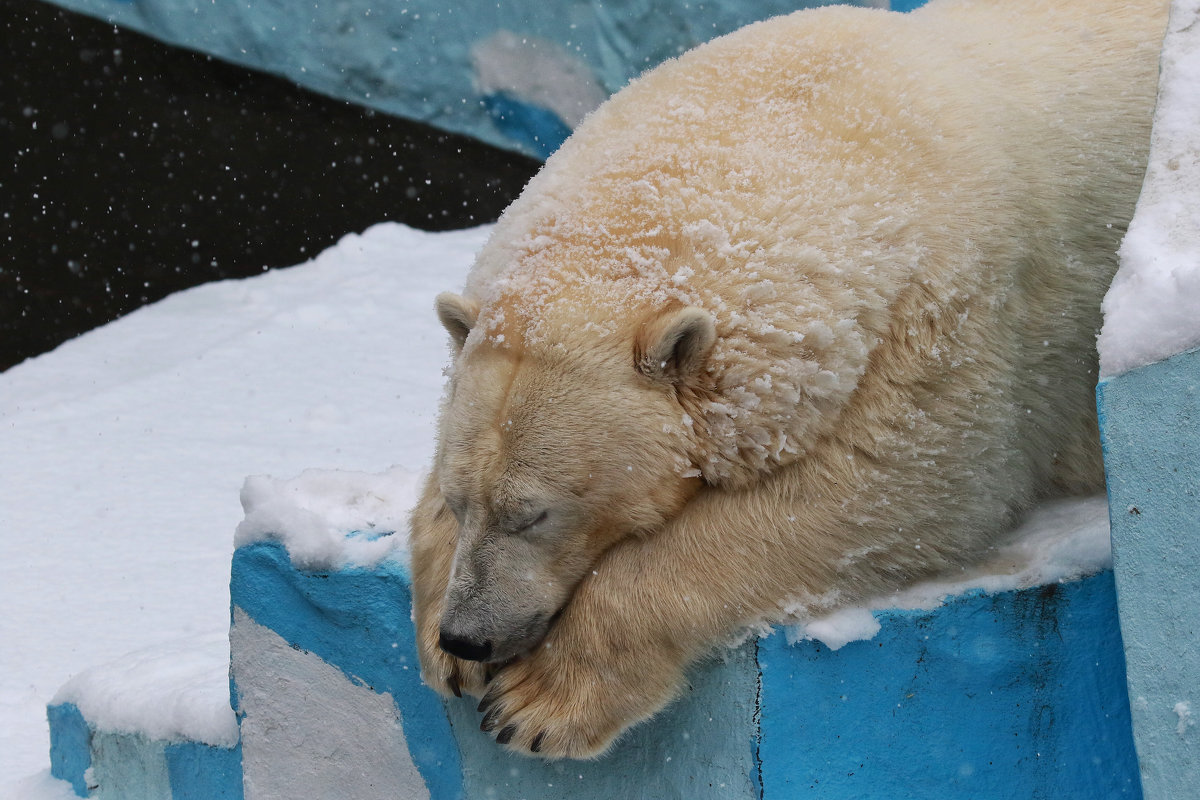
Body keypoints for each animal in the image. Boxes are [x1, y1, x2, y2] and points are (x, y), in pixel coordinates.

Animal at [408, 0, 1166, 758]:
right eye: (462, 501)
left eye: (536, 513)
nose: (469, 634)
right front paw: (442, 650)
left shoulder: (951, 323)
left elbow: (888, 491)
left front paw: (537, 703)